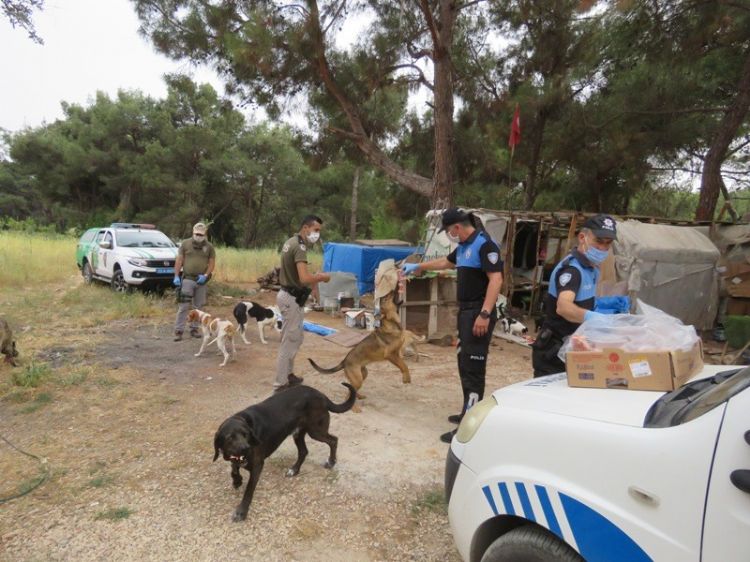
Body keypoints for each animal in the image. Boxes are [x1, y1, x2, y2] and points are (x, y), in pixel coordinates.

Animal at [213, 378, 356, 520]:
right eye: (230, 437)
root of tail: (320, 394)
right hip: (298, 434)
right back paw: (294, 470)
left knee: (333, 440)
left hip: (315, 431)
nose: (246, 448)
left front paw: (241, 512)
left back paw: (331, 462)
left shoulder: (257, 465)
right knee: (304, 451)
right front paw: (237, 480)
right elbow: (234, 468)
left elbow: (248, 490)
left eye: (246, 434)